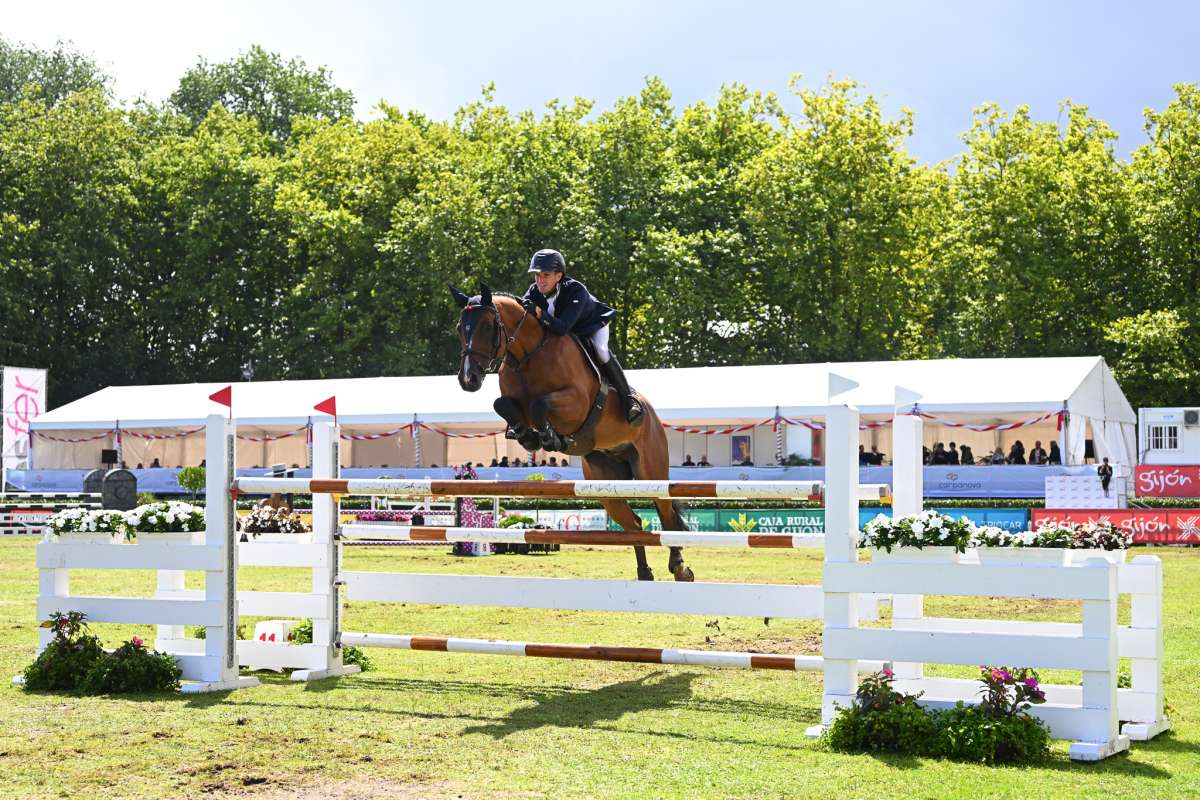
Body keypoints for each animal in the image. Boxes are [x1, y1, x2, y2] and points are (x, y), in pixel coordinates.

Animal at [451, 283, 696, 582]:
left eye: (487, 326)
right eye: (459, 328)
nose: (468, 379)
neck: (528, 354)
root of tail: (653, 417)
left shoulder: (576, 402)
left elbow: (539, 404)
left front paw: (549, 437)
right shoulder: (513, 400)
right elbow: (503, 404)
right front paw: (528, 435)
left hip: (650, 470)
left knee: (666, 513)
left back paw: (680, 568)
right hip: (605, 482)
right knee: (634, 524)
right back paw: (644, 573)